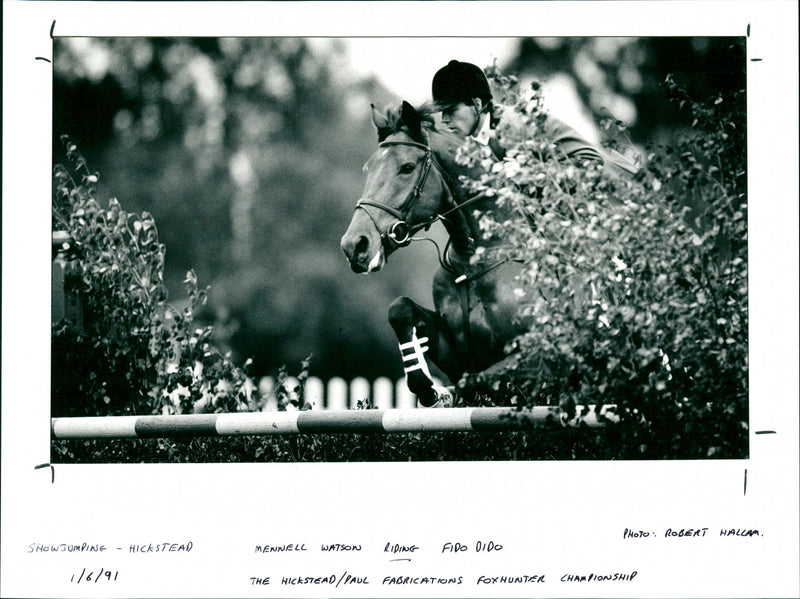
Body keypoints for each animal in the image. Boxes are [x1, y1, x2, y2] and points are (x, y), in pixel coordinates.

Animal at [340, 102, 532, 408]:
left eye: (407, 168)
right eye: (367, 169)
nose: (354, 246)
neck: (473, 259)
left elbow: (474, 382)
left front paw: (445, 394)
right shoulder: (456, 354)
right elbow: (400, 308)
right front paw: (428, 388)